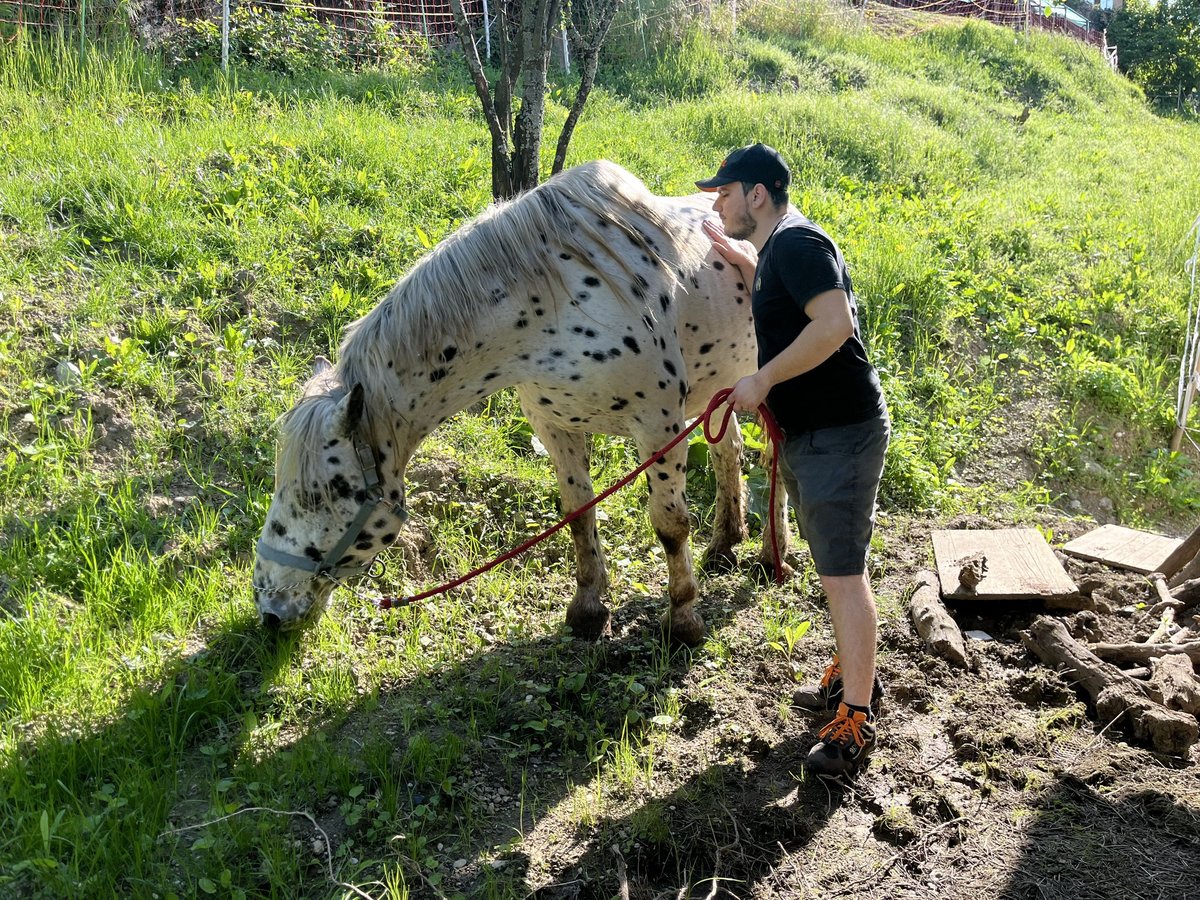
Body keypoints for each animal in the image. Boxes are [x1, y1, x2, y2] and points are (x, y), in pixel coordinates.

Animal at [250, 158, 787, 643]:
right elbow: (579, 514)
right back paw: (725, 543)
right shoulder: (555, 426)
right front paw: (588, 609)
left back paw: (769, 556)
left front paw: (683, 620)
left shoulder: (657, 427)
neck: (551, 305)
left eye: (322, 493)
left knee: (774, 459)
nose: (269, 607)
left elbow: (670, 525)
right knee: (728, 450)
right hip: (714, 390)